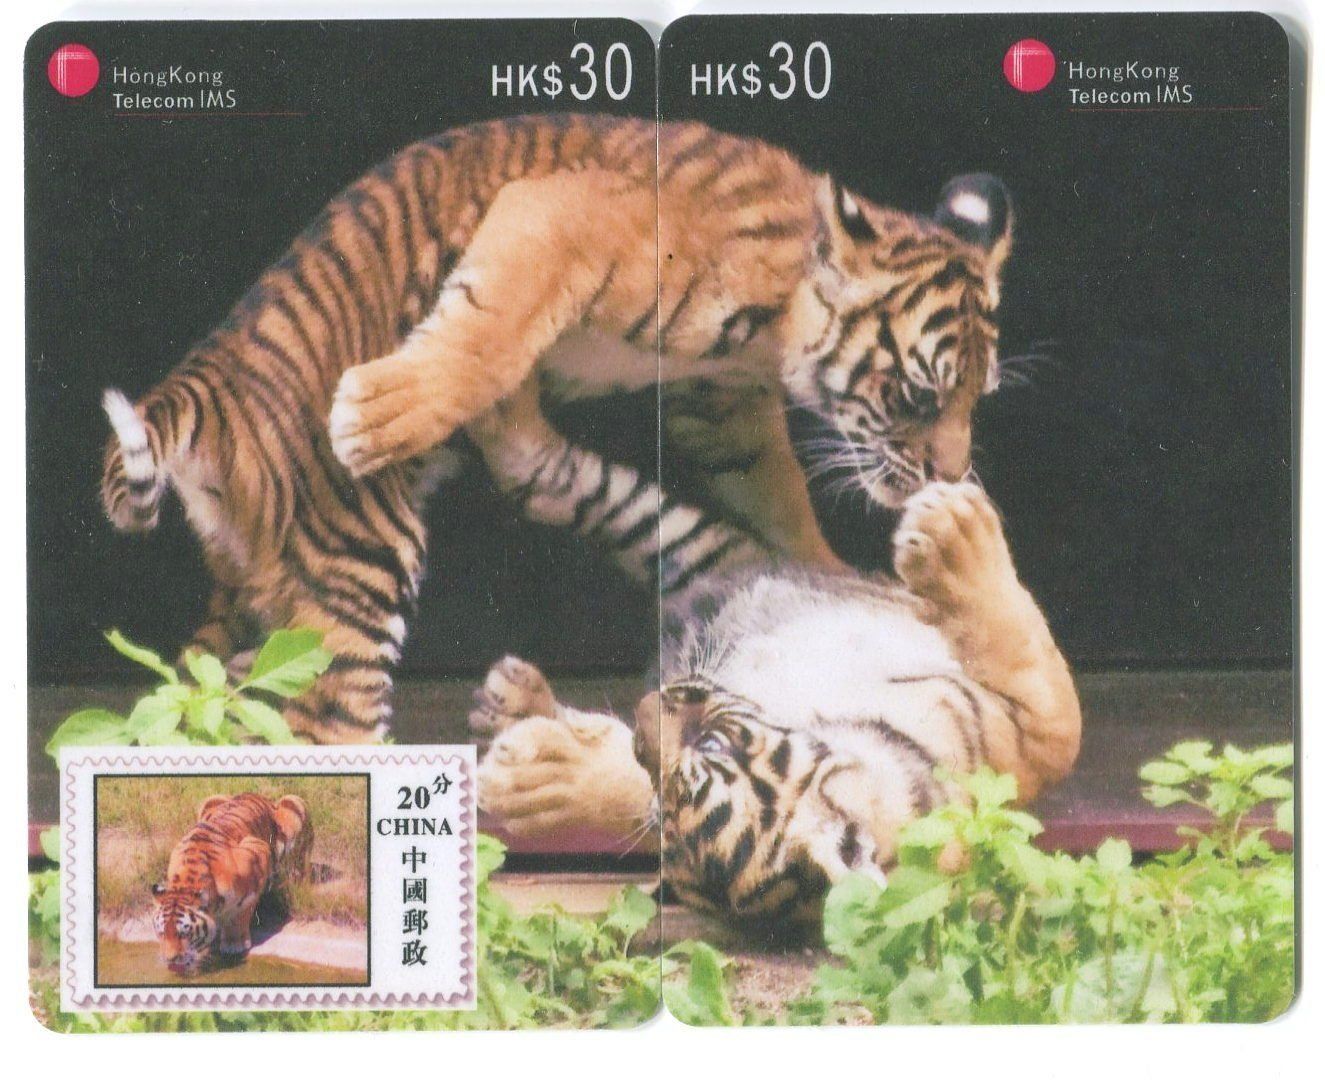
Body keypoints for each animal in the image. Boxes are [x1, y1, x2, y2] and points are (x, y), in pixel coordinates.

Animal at [100, 113, 1012, 742]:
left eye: (979, 397)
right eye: (919, 396)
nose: (948, 476)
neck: (776, 319)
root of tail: (205, 388)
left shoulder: (719, 401)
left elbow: (775, 493)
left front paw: (828, 576)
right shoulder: (561, 210)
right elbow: (495, 322)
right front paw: (379, 414)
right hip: (356, 555)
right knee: (327, 726)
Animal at [150, 792, 312, 974]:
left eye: (183, 934)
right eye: (162, 933)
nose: (170, 959)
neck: (188, 880)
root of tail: (259, 796)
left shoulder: (257, 851)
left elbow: (239, 912)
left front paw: (234, 945)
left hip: (294, 806)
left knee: (301, 863)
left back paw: (296, 880)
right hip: (210, 800)